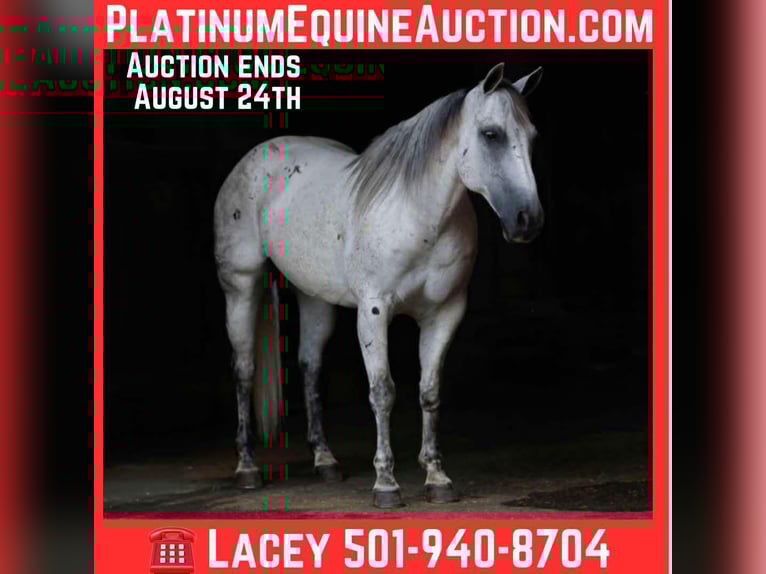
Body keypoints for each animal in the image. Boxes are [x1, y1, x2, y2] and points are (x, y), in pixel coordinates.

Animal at [214, 63, 544, 508]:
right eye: (491, 134)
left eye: (532, 137)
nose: (528, 220)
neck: (420, 216)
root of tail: (255, 157)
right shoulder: (374, 311)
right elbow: (383, 391)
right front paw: (386, 484)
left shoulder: (445, 314)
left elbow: (429, 390)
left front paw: (437, 477)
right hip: (242, 288)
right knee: (244, 369)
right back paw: (247, 467)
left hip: (314, 298)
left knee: (310, 367)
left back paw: (325, 461)